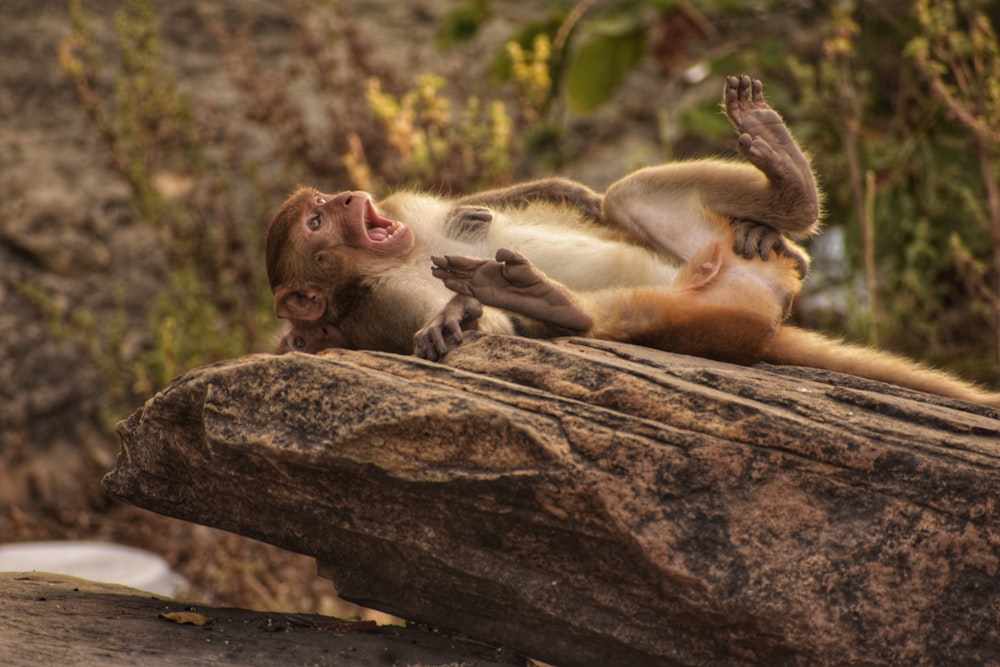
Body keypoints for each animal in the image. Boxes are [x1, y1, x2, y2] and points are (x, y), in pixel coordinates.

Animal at [266, 73, 1000, 408]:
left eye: (323, 206)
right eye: (315, 224)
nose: (345, 199)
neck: (397, 249)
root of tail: (770, 313)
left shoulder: (404, 209)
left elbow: (521, 199)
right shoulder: (382, 296)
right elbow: (479, 327)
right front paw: (457, 313)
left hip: (718, 257)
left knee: (631, 195)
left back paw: (787, 189)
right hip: (712, 320)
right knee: (625, 316)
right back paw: (554, 303)